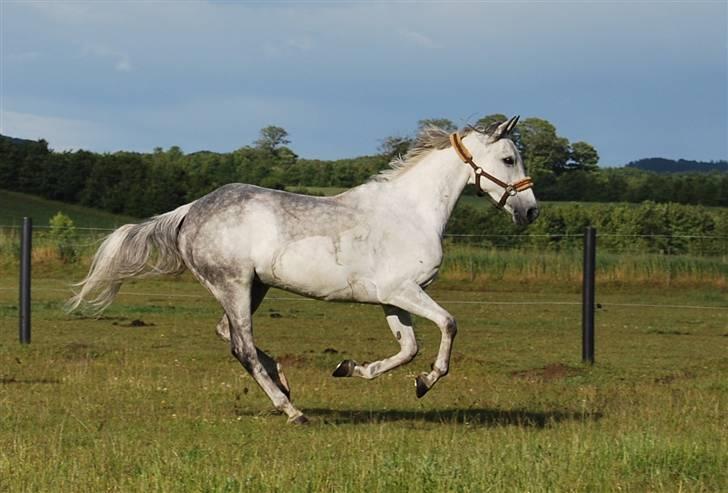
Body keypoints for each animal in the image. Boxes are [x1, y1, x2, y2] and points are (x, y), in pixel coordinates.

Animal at [69, 116, 536, 422]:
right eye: (508, 158)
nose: (530, 211)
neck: (411, 212)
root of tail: (190, 210)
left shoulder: (392, 298)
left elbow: (408, 349)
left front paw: (352, 369)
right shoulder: (404, 291)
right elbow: (448, 325)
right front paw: (428, 381)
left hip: (253, 288)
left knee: (229, 335)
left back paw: (285, 382)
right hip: (234, 285)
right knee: (241, 347)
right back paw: (290, 409)